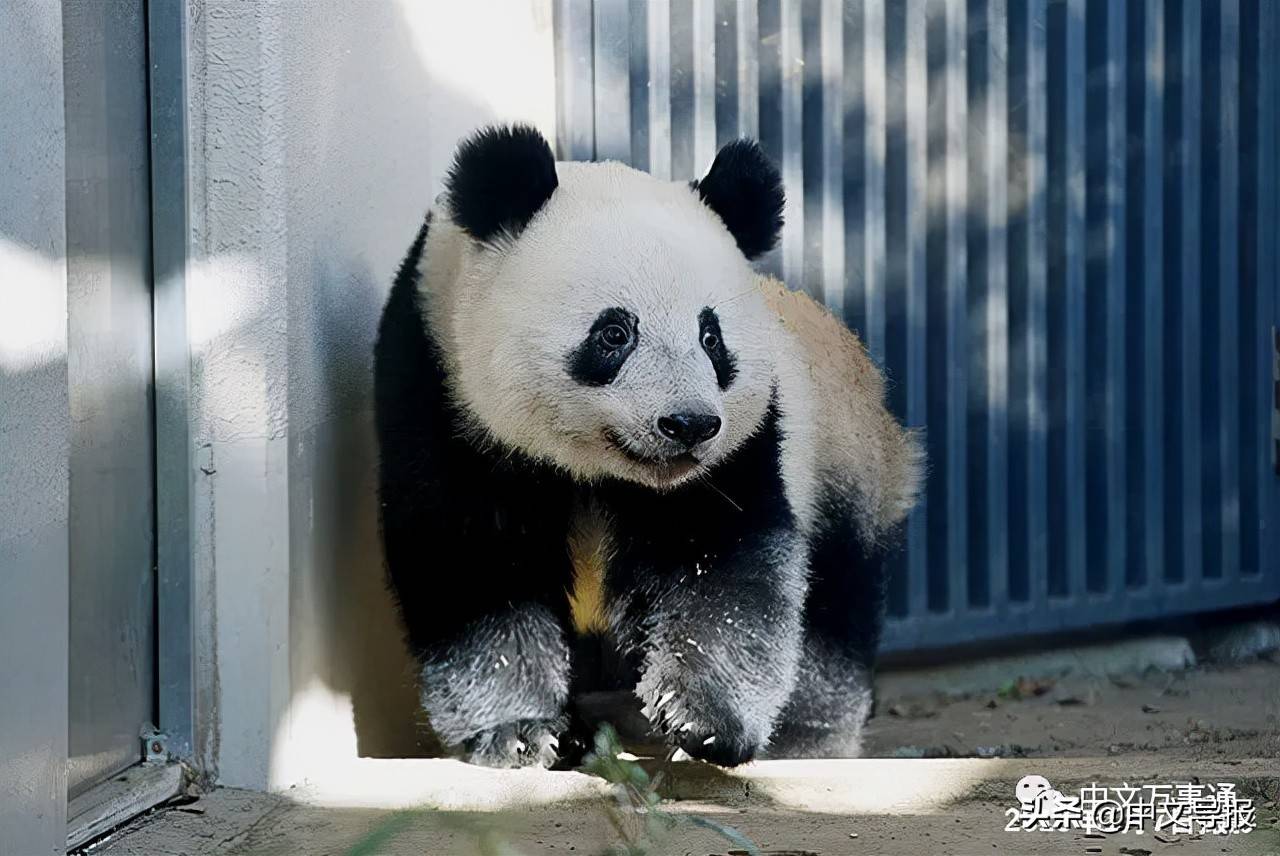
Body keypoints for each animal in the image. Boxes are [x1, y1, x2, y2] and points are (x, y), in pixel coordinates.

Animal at [371, 121, 921, 767]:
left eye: (711, 338)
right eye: (614, 333)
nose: (688, 424)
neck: (594, 466)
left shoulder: (748, 443)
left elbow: (724, 561)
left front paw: (700, 717)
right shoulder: (437, 390)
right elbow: (473, 562)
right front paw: (520, 732)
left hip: (842, 457)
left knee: (837, 600)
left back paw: (806, 738)